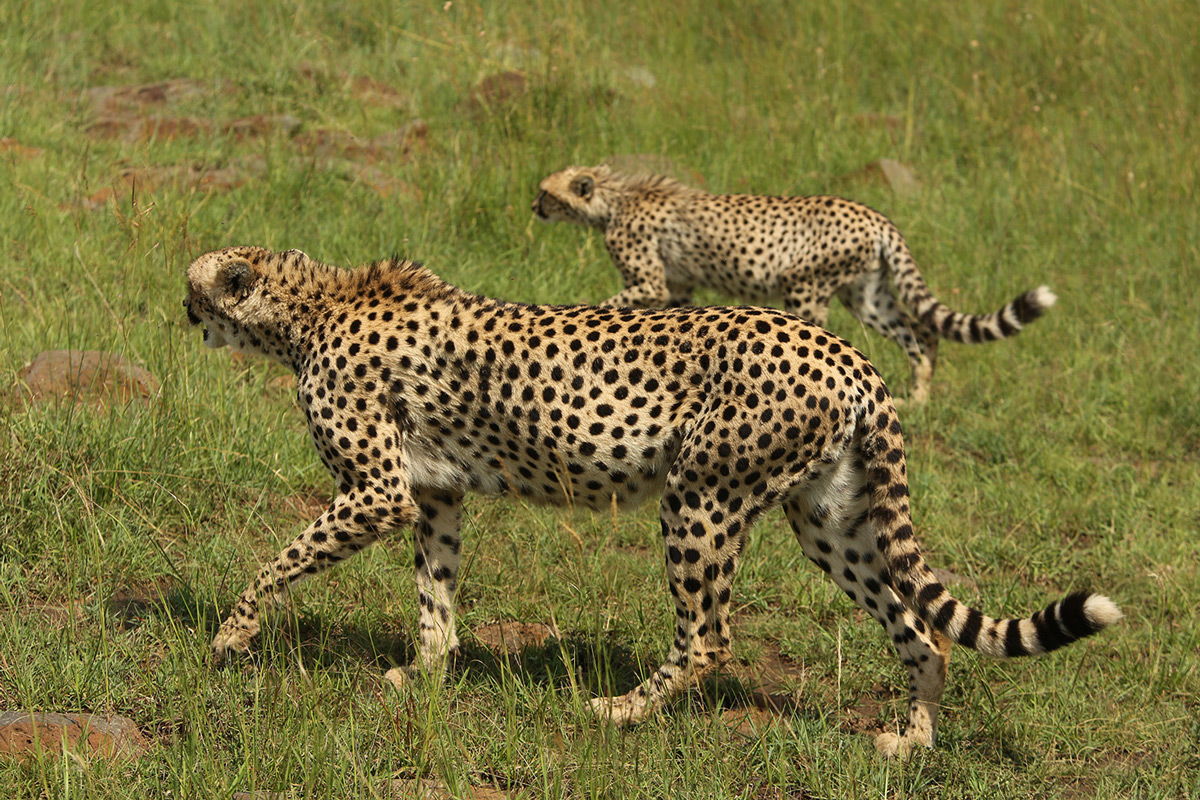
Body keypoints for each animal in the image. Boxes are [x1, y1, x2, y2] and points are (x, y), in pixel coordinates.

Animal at [182, 245, 1118, 758]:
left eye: (197, 294)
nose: (181, 315)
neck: (308, 310)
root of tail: (846, 353)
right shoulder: (436, 491)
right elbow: (434, 595)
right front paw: (427, 672)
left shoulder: (381, 492)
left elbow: (280, 559)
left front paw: (232, 634)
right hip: (831, 520)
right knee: (923, 629)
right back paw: (913, 742)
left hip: (700, 496)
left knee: (709, 635)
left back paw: (622, 711)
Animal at [530, 167, 1056, 407]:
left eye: (544, 192)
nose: (532, 207)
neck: (615, 198)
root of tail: (875, 214)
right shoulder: (678, 287)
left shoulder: (651, 281)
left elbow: (616, 302)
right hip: (867, 297)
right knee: (921, 332)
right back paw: (920, 395)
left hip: (804, 287)